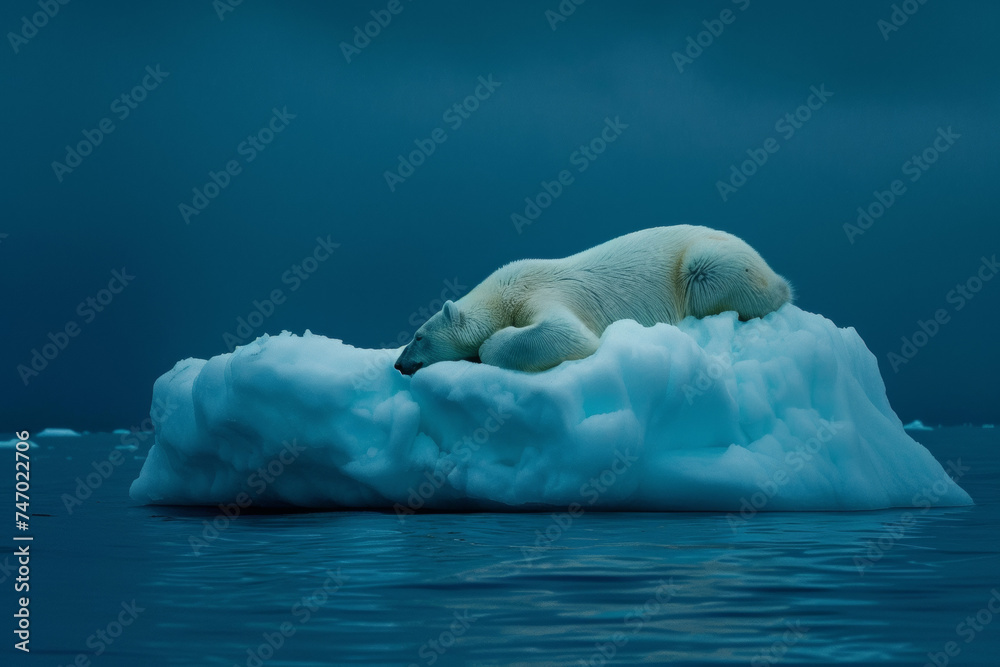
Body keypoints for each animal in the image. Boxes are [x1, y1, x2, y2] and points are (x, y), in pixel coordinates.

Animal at [394, 225, 792, 374]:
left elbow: (567, 334)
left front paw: (487, 347)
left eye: (418, 336)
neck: (502, 292)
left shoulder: (538, 293)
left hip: (706, 263)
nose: (398, 364)